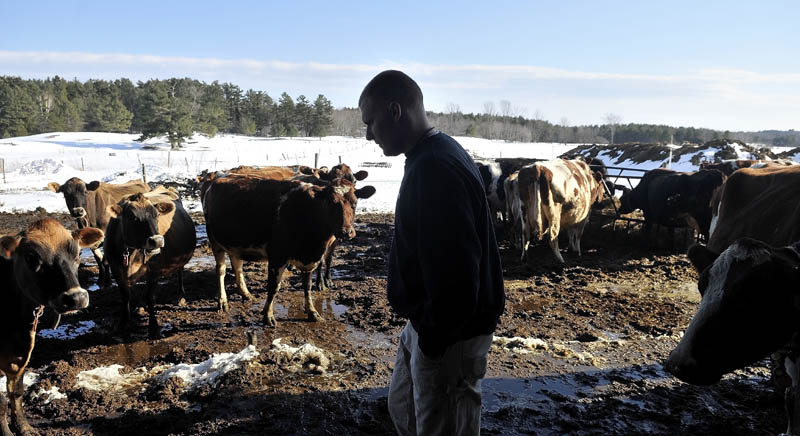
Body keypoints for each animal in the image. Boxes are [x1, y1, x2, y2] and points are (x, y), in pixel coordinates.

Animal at [0, 221, 102, 436]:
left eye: (77, 253)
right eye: (31, 258)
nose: (76, 298)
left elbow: (16, 391)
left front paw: (24, 428)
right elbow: (1, 401)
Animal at [104, 186, 196, 338]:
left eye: (157, 215)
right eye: (132, 217)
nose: (157, 241)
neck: (131, 252)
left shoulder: (155, 270)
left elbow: (150, 296)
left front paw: (154, 328)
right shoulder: (115, 269)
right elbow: (125, 296)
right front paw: (123, 324)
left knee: (180, 271)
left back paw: (180, 296)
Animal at [200, 175, 376, 326]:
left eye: (354, 203)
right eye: (332, 203)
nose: (346, 232)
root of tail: (218, 179)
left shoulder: (309, 259)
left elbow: (307, 287)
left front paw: (312, 312)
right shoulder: (277, 256)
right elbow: (273, 287)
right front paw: (268, 315)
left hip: (235, 244)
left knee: (237, 266)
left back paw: (246, 293)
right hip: (215, 241)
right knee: (221, 270)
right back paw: (222, 301)